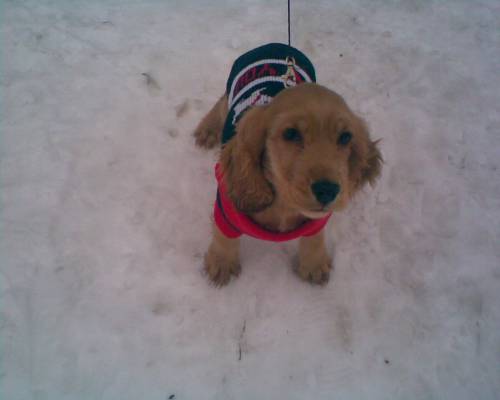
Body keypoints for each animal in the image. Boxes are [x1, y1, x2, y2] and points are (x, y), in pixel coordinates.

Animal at [194, 43, 382, 286]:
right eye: (290, 133)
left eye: (345, 137)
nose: (328, 190)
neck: (284, 203)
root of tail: (277, 44)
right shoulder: (227, 211)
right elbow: (223, 236)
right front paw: (221, 263)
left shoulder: (315, 221)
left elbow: (314, 238)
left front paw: (314, 265)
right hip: (229, 93)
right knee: (220, 103)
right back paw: (207, 130)